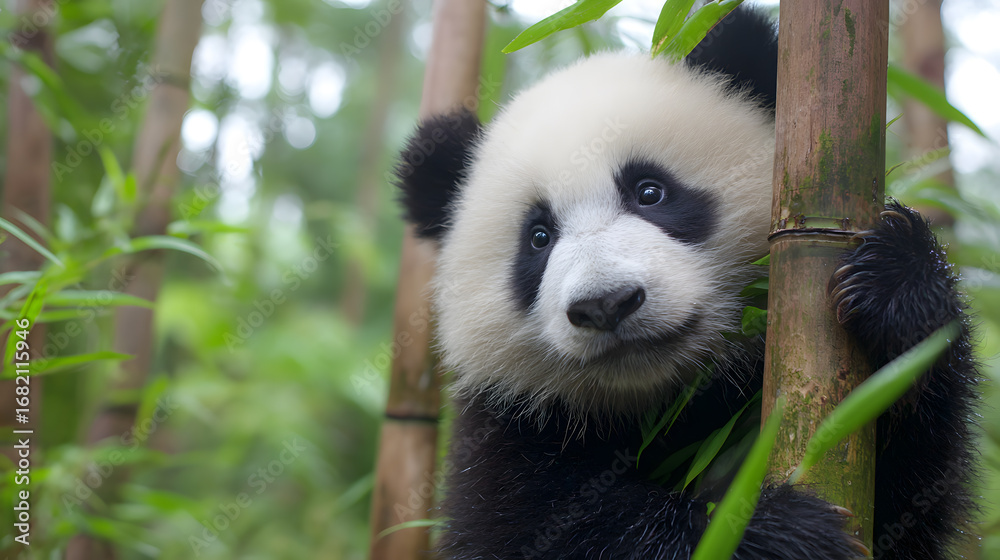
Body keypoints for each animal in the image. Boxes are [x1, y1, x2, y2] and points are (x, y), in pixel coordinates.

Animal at [395, 7, 976, 560]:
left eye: (650, 191)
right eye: (538, 238)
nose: (606, 304)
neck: (667, 403)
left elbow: (905, 488)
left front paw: (895, 287)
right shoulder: (506, 436)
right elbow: (550, 532)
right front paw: (770, 532)